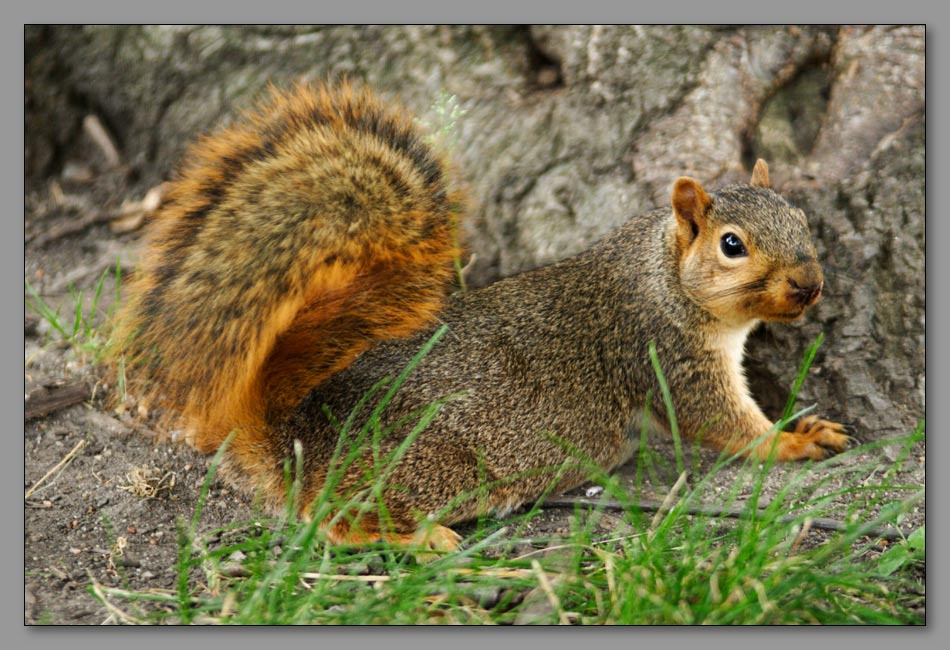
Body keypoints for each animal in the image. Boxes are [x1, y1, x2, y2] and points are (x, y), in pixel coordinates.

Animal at [113, 82, 853, 553]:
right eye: (732, 245)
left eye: (801, 217)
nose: (810, 285)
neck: (661, 276)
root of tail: (296, 438)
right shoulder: (662, 353)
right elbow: (724, 425)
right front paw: (794, 439)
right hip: (433, 467)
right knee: (336, 524)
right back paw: (421, 539)